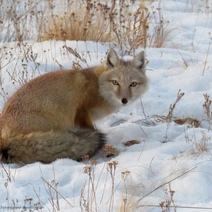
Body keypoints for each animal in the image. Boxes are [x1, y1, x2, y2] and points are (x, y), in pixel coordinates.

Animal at [0, 48, 147, 164]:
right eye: (115, 82)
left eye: (133, 84)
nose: (124, 100)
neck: (98, 86)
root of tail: (5, 140)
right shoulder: (81, 110)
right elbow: (91, 129)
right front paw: (108, 150)